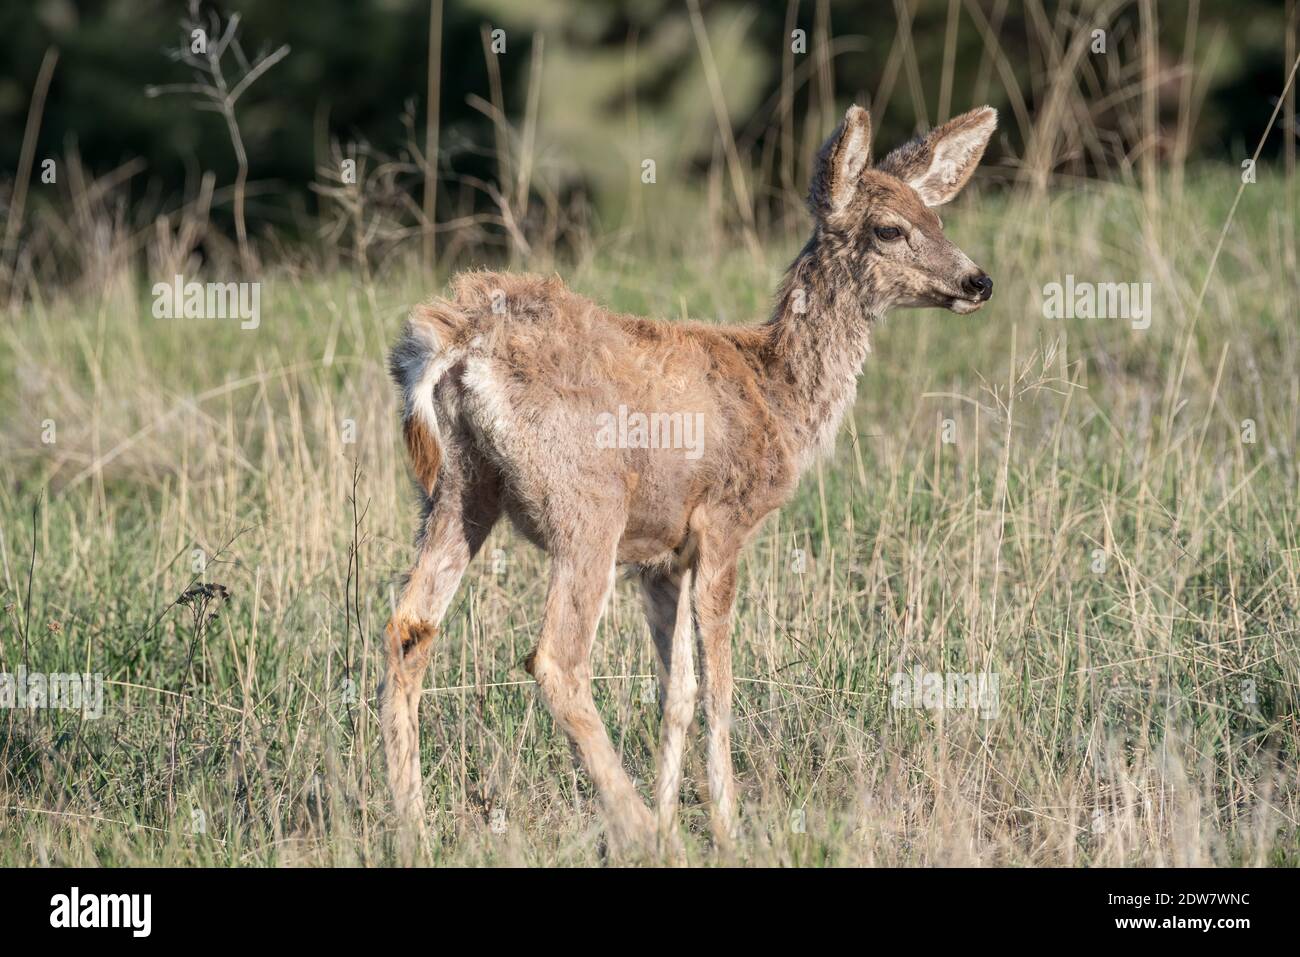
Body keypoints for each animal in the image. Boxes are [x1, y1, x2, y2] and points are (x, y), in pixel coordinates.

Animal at [379, 104, 997, 857]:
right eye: (889, 228)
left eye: (936, 217)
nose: (977, 281)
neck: (779, 396)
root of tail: (454, 336)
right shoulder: (724, 523)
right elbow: (720, 687)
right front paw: (725, 828)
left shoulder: (662, 557)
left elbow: (675, 693)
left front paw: (680, 815)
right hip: (587, 503)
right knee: (555, 659)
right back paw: (640, 830)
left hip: (458, 490)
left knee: (408, 628)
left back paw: (413, 830)